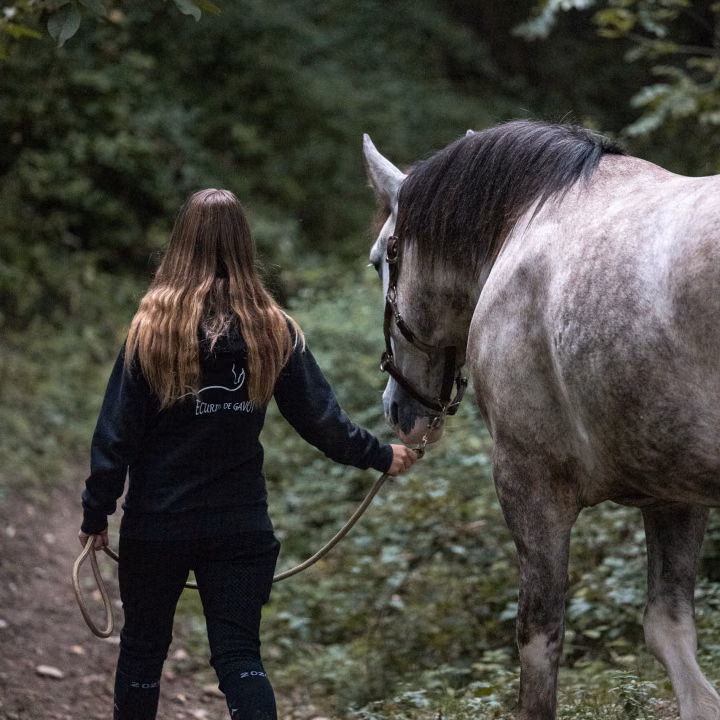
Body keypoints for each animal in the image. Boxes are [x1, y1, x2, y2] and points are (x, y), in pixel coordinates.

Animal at [362, 120, 720, 720]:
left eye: (377, 260)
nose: (397, 409)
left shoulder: (530, 485)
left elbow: (538, 642)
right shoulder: (674, 492)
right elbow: (671, 634)